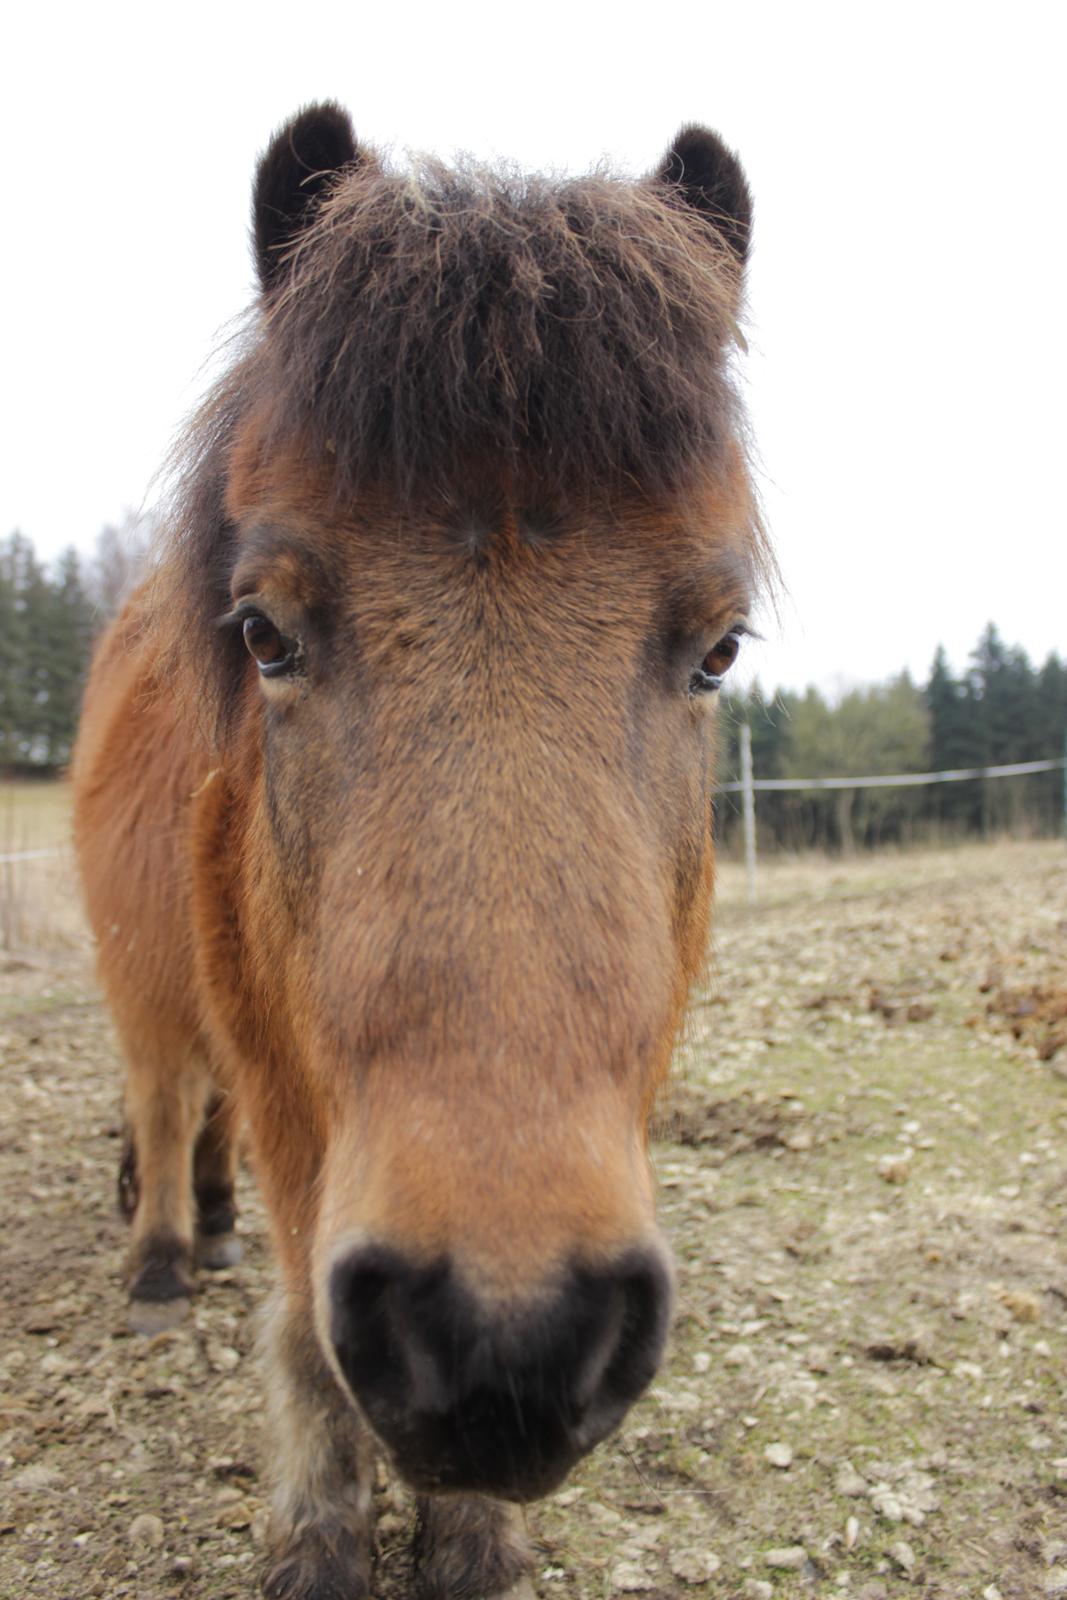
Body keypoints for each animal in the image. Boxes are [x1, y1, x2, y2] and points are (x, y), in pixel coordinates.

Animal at [70, 103, 764, 1600]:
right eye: (264, 633)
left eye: (718, 649)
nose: (506, 1343)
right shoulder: (285, 1085)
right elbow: (302, 1329)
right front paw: (318, 1533)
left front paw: (474, 1537)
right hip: (149, 986)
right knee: (163, 1097)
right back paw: (162, 1261)